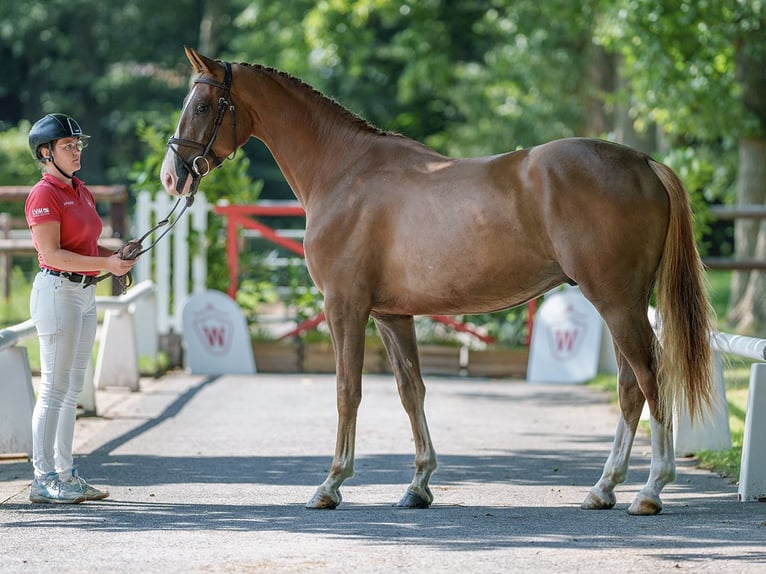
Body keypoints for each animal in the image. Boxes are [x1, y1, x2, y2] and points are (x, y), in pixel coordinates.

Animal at [159, 48, 716, 516]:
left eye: (204, 105)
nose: (171, 176)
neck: (343, 170)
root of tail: (644, 163)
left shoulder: (345, 307)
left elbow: (347, 390)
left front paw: (331, 484)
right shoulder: (391, 315)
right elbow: (412, 391)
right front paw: (419, 485)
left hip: (617, 302)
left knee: (649, 378)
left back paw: (649, 490)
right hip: (618, 304)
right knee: (630, 386)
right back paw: (603, 487)